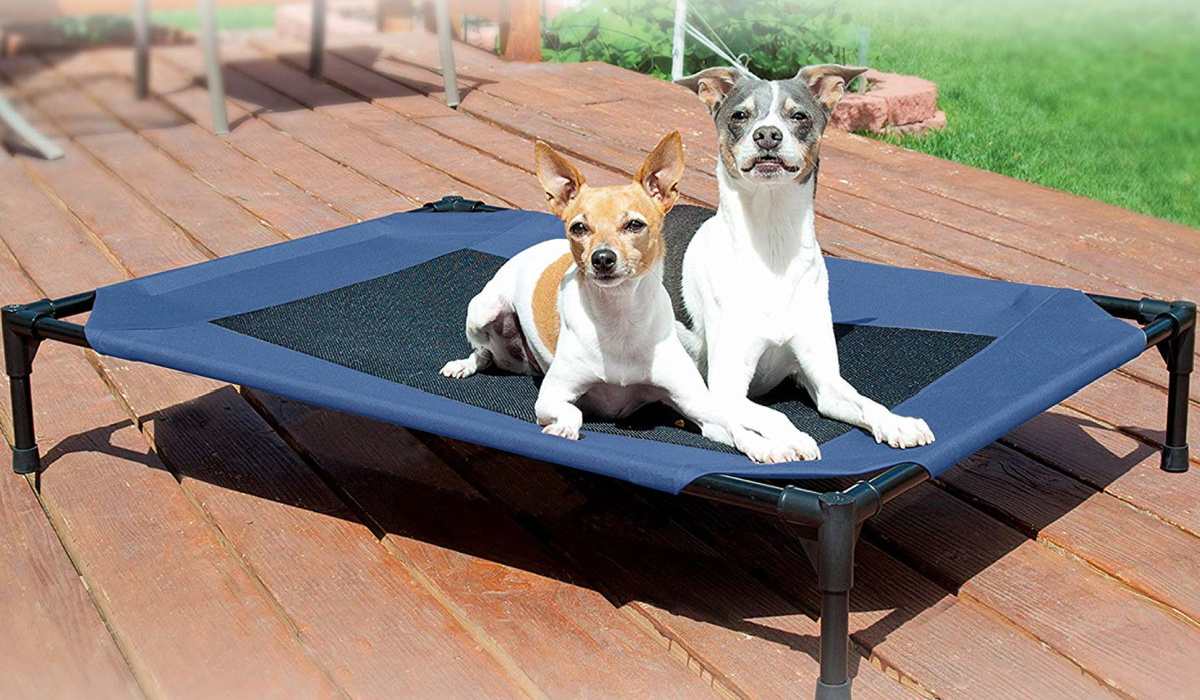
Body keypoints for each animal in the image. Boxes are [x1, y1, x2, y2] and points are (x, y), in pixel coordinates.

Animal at [441, 133, 816, 463]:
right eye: (579, 228)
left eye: (635, 225)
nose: (602, 258)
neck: (619, 318)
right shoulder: (550, 399)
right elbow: (573, 413)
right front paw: (563, 429)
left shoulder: (699, 406)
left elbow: (737, 427)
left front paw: (768, 446)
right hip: (483, 311)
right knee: (482, 353)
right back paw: (462, 365)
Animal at [676, 63, 936, 456]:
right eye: (739, 116)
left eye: (798, 116)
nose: (768, 135)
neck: (773, 247)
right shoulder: (725, 389)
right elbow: (775, 415)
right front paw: (790, 438)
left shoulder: (826, 382)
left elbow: (868, 402)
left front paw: (897, 423)